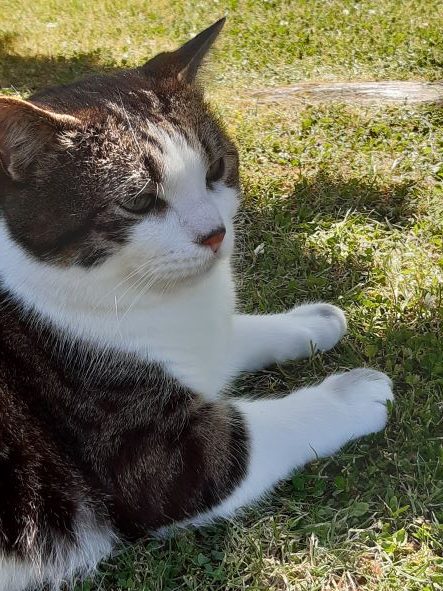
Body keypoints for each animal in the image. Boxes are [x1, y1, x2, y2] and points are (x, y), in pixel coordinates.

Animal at [0, 18, 396, 591]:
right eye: (139, 200)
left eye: (215, 168)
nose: (215, 233)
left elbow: (231, 336)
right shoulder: (150, 457)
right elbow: (236, 444)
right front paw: (352, 393)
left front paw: (311, 321)